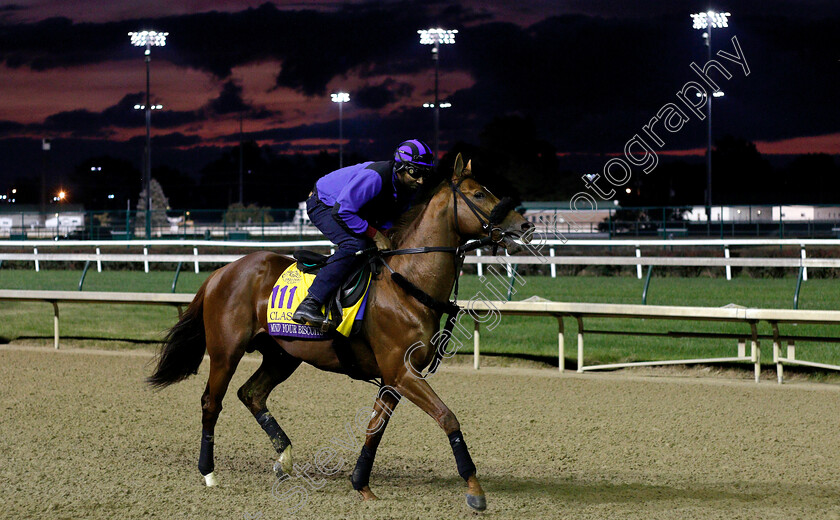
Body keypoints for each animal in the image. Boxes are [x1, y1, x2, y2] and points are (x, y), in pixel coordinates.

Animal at [148, 154, 536, 512]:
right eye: (479, 193)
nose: (525, 226)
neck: (408, 283)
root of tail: (222, 272)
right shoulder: (403, 371)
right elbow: (448, 418)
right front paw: (475, 489)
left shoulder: (393, 378)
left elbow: (374, 431)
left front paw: (361, 484)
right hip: (226, 351)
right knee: (211, 402)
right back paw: (208, 472)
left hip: (282, 355)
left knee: (251, 394)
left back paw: (284, 458)